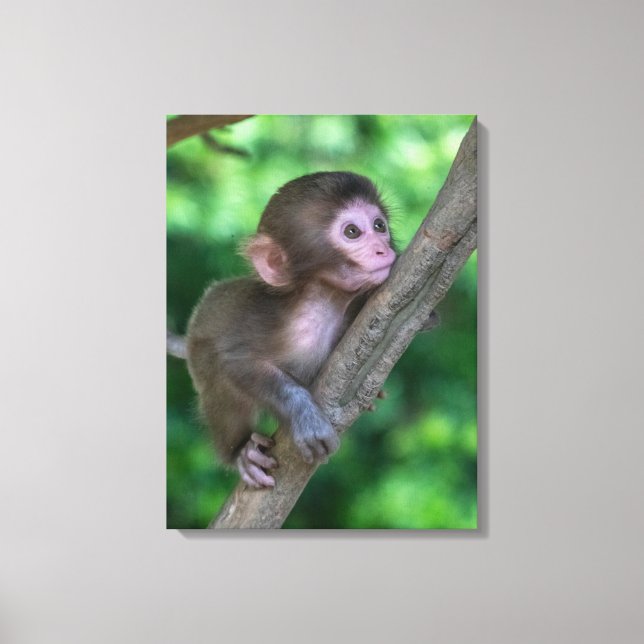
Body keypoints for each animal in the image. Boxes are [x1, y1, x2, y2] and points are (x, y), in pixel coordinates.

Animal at [186, 171, 417, 489]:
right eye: (352, 232)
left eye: (379, 225)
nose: (384, 249)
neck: (324, 304)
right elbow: (235, 362)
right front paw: (304, 416)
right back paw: (241, 452)